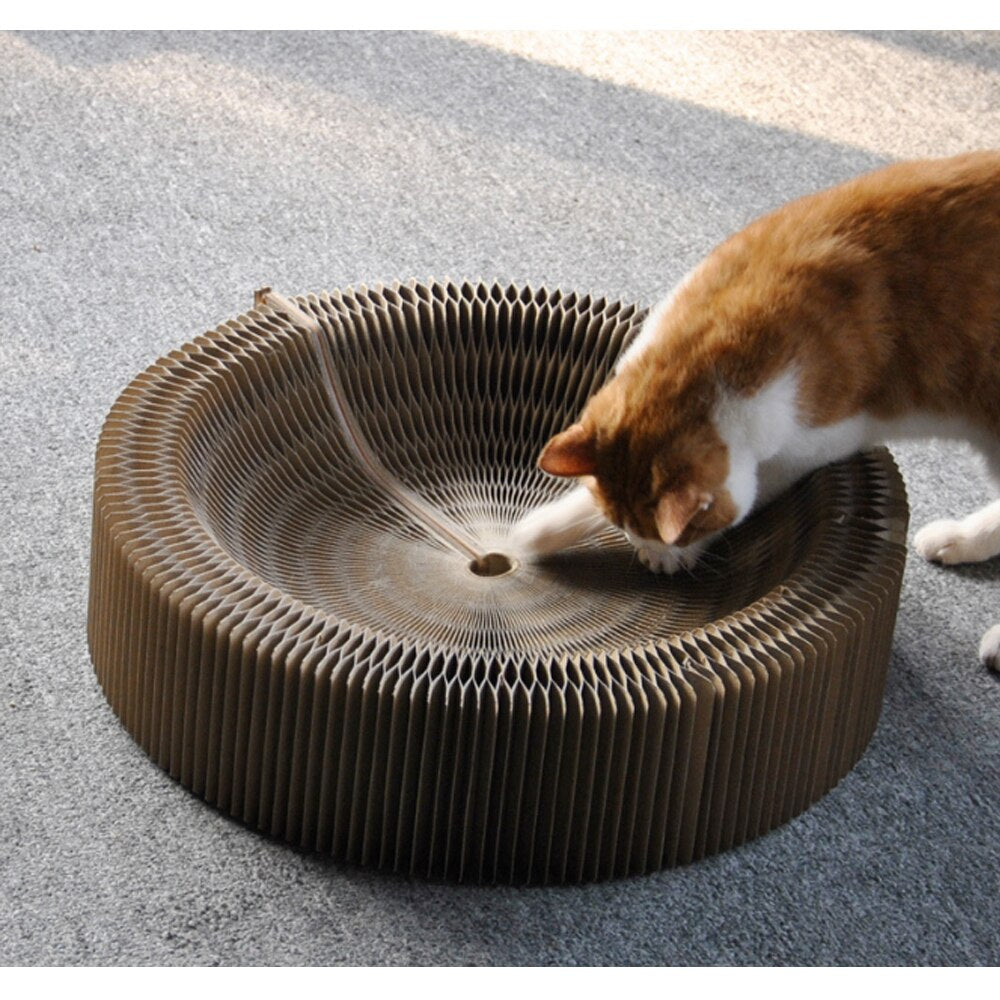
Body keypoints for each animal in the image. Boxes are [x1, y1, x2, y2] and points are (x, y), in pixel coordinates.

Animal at [512, 152, 1000, 668]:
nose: (651, 555)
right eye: (620, 525)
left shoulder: (812, 444)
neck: (719, 339)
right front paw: (538, 531)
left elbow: (752, 496)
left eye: (671, 535)